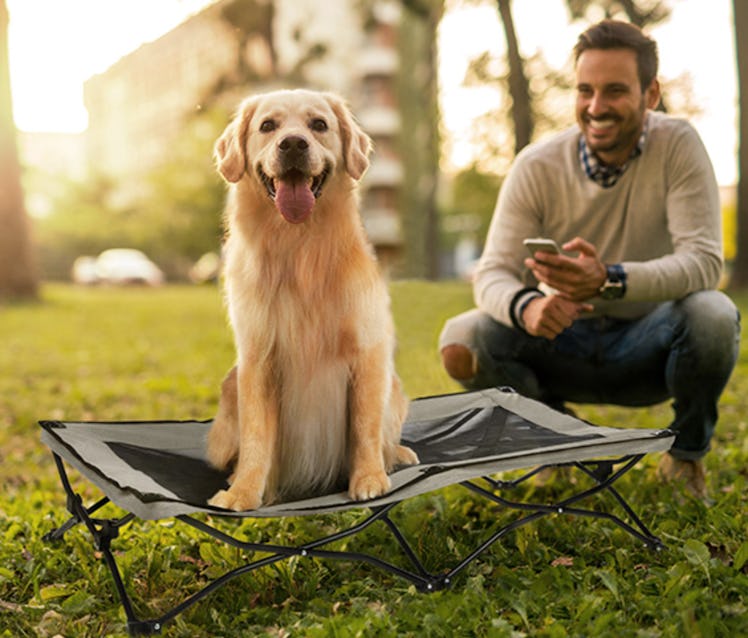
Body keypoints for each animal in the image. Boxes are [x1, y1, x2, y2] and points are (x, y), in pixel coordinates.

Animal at [206, 89, 414, 516]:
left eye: (318, 124)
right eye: (268, 126)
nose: (293, 144)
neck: (299, 248)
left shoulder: (368, 351)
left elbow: (364, 427)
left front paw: (369, 479)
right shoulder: (257, 359)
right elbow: (256, 437)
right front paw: (244, 492)